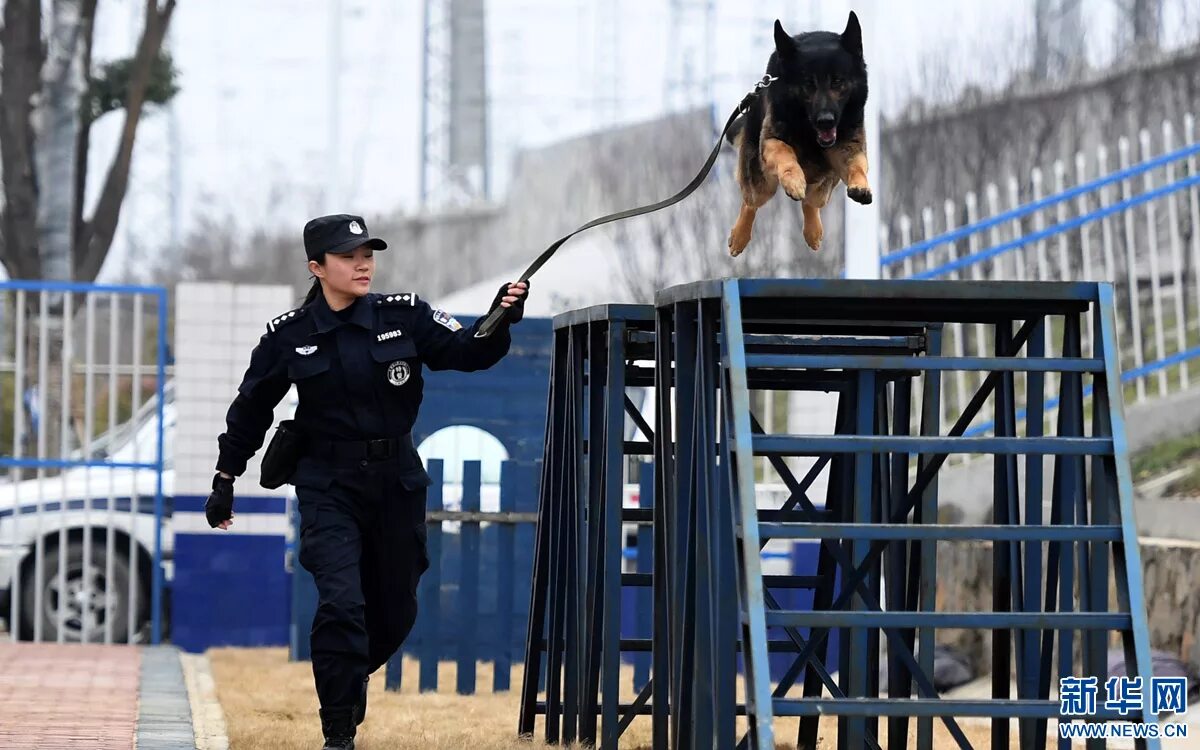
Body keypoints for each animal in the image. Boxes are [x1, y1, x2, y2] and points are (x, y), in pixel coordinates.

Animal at [729, 11, 873, 254]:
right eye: (808, 84)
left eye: (837, 81)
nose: (825, 121)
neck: (809, 131)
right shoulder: (771, 141)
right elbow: (785, 152)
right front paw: (794, 180)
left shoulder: (847, 146)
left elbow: (857, 165)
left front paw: (861, 185)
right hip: (760, 181)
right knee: (751, 202)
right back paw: (739, 236)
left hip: (826, 182)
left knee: (811, 202)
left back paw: (813, 231)